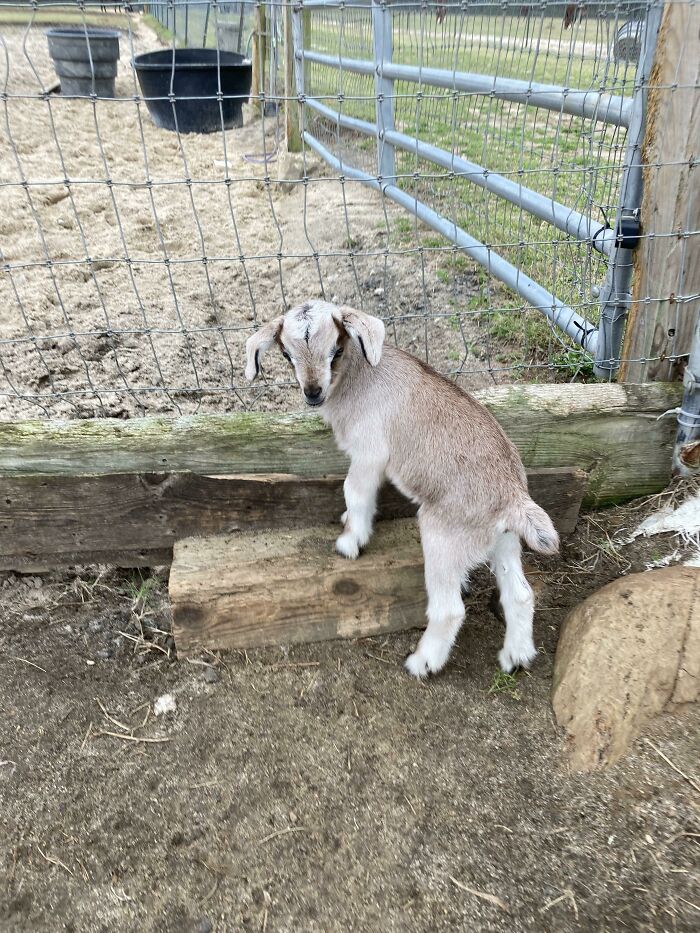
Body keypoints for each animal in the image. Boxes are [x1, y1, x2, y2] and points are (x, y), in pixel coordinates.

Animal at [245, 300, 558, 678]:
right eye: (287, 354)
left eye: (336, 349)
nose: (313, 392)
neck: (358, 379)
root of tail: (513, 498)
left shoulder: (370, 453)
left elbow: (354, 491)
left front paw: (351, 541)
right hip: (504, 541)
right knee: (520, 595)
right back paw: (516, 656)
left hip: (443, 538)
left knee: (450, 609)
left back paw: (423, 662)